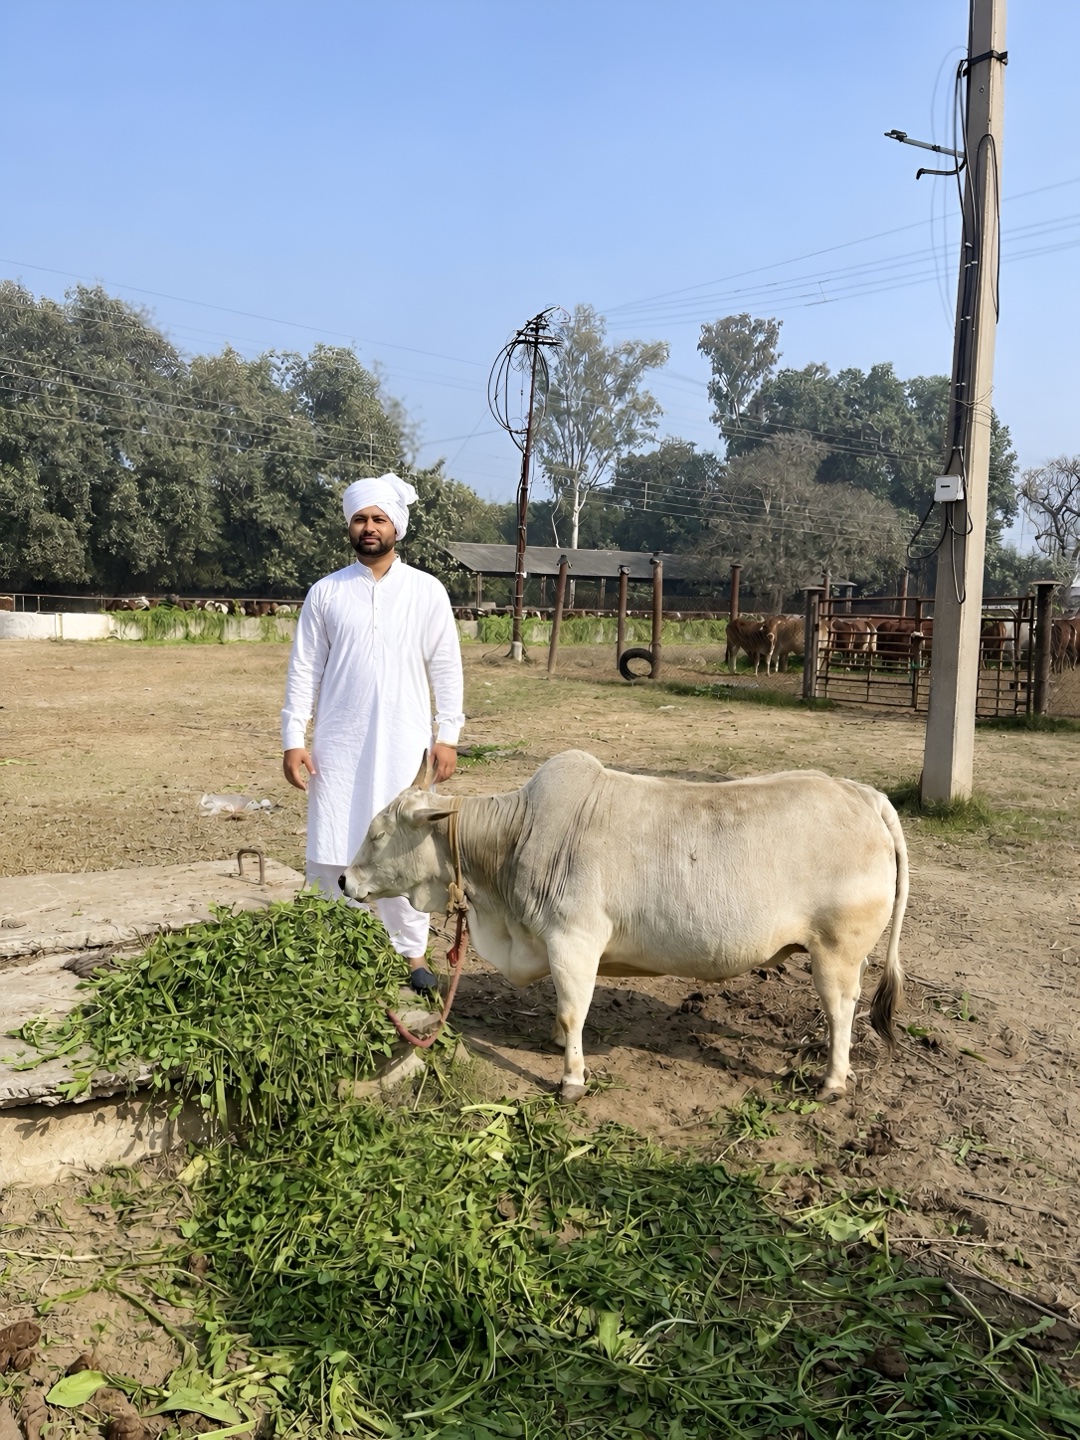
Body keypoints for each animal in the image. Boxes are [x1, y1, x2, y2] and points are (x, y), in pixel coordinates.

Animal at [343, 751, 908, 1105]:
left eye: (378, 833)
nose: (346, 879)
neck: (516, 836)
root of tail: (864, 795)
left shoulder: (573, 940)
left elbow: (573, 1011)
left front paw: (571, 1078)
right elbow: (564, 1007)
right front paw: (556, 1042)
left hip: (836, 951)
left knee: (841, 1012)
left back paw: (833, 1081)